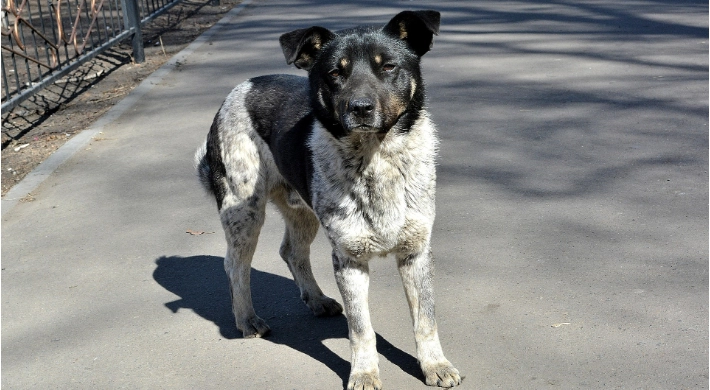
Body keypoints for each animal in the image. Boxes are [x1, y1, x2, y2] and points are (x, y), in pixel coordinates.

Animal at [195, 10, 462, 388]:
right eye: (336, 72)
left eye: (388, 67)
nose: (361, 108)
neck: (374, 158)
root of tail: (239, 89)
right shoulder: (349, 260)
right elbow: (361, 329)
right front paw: (364, 373)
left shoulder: (416, 253)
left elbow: (425, 319)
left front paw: (435, 365)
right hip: (244, 212)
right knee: (236, 265)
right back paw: (247, 319)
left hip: (302, 211)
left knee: (291, 251)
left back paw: (317, 300)